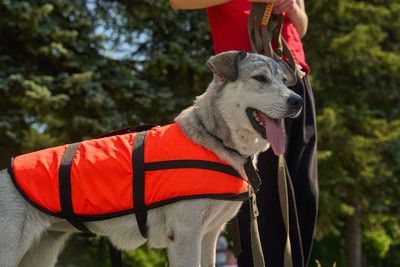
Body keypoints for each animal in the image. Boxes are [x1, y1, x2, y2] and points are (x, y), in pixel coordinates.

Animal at [0, 50, 302, 267]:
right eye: (260, 79)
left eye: (283, 81)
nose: (298, 101)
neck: (213, 138)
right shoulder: (186, 236)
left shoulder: (209, 236)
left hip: (40, 252)